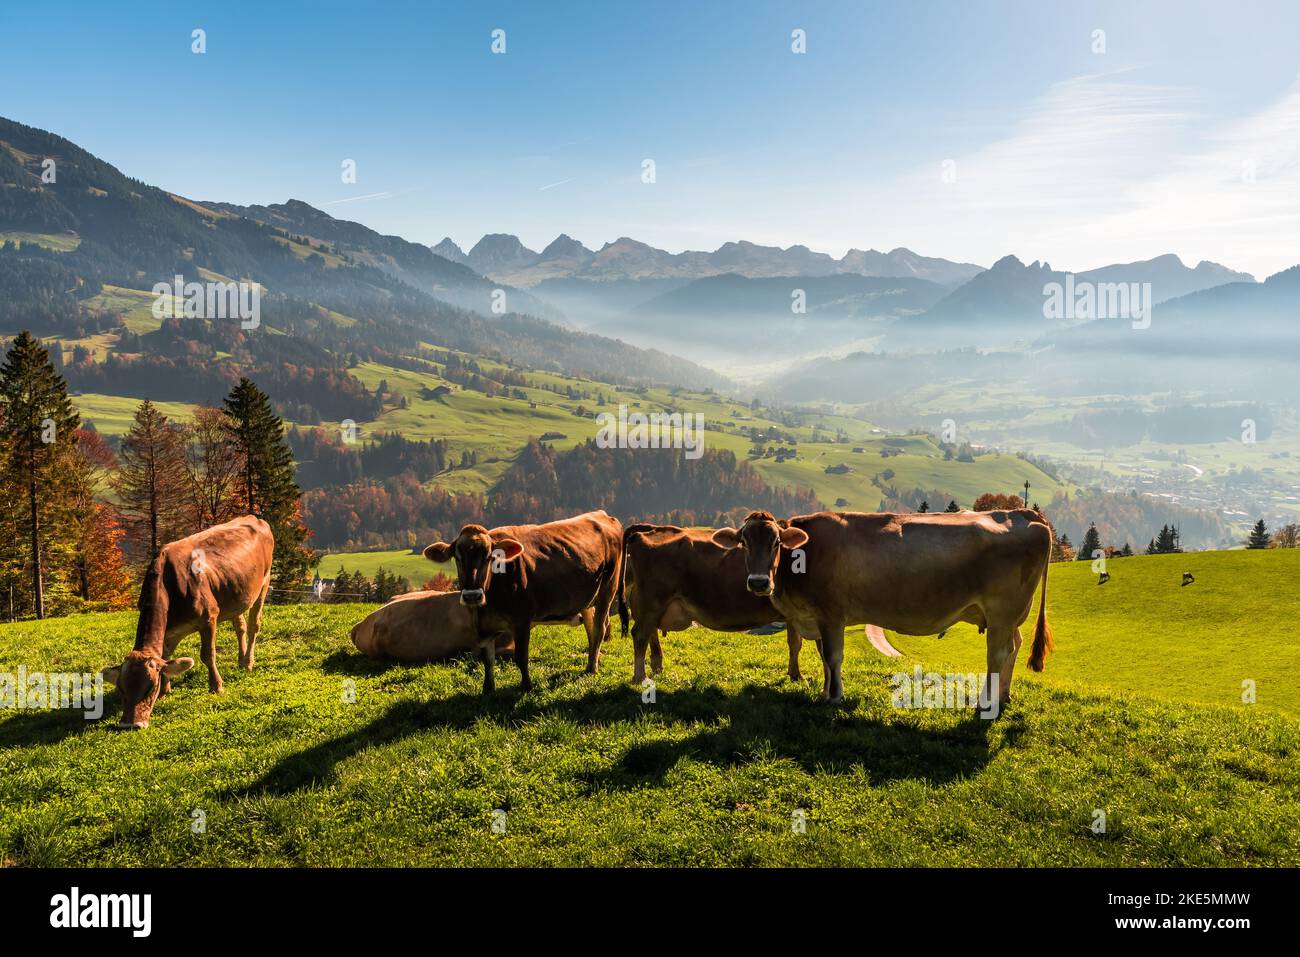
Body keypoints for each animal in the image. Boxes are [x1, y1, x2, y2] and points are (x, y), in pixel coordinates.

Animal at [101, 515, 274, 729]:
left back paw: (248, 663)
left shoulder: (209, 617)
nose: (131, 725)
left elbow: (207, 654)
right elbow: (166, 657)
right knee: (239, 626)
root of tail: (254, 517)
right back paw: (241, 661)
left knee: (253, 626)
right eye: (121, 689)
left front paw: (216, 686)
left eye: (150, 687)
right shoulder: (169, 631)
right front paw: (166, 690)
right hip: (236, 594)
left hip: (264, 581)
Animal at [422, 510, 624, 695]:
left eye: (489, 557)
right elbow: (487, 659)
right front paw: (488, 689)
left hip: (608, 588)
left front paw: (527, 687)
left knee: (599, 628)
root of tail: (602, 514)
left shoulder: (522, 620)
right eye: (457, 557)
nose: (472, 596)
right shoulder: (485, 627)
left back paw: (592, 668)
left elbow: (521, 657)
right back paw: (591, 662)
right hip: (586, 598)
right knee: (590, 627)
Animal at [618, 522, 819, 684]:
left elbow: (795, 643)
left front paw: (795, 674)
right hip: (652, 601)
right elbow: (799, 643)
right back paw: (640, 677)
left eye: (777, 542)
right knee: (640, 634)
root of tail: (649, 530)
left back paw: (656, 665)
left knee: (650, 632)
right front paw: (797, 676)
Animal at [712, 509, 1053, 711]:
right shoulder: (817, 618)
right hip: (1010, 617)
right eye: (743, 542)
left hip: (1002, 611)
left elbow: (833, 658)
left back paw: (985, 702)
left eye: (776, 543)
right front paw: (824, 692)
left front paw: (835, 696)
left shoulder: (831, 614)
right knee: (1014, 647)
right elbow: (823, 658)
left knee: (998, 654)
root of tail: (1023, 513)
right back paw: (1004, 695)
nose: (758, 582)